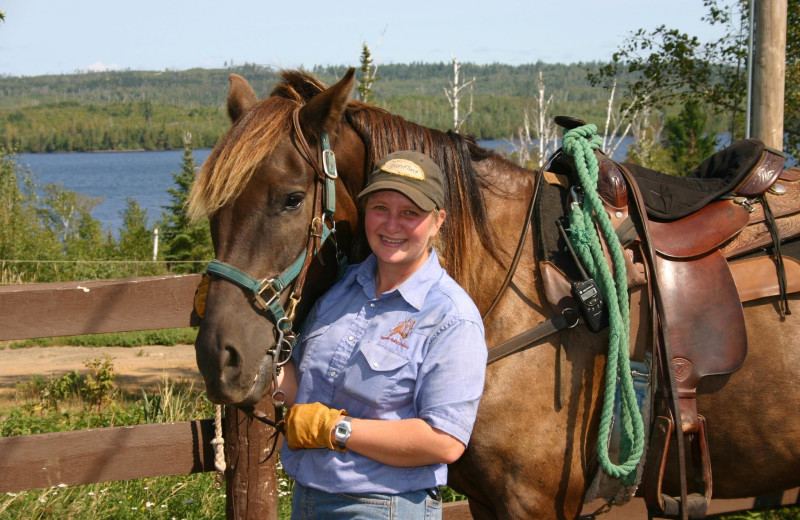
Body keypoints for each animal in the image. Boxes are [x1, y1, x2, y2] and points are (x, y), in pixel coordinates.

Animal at [189, 68, 800, 516]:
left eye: (292, 199)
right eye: (215, 206)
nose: (220, 357)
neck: (505, 294)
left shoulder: (534, 505)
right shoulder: (486, 501)